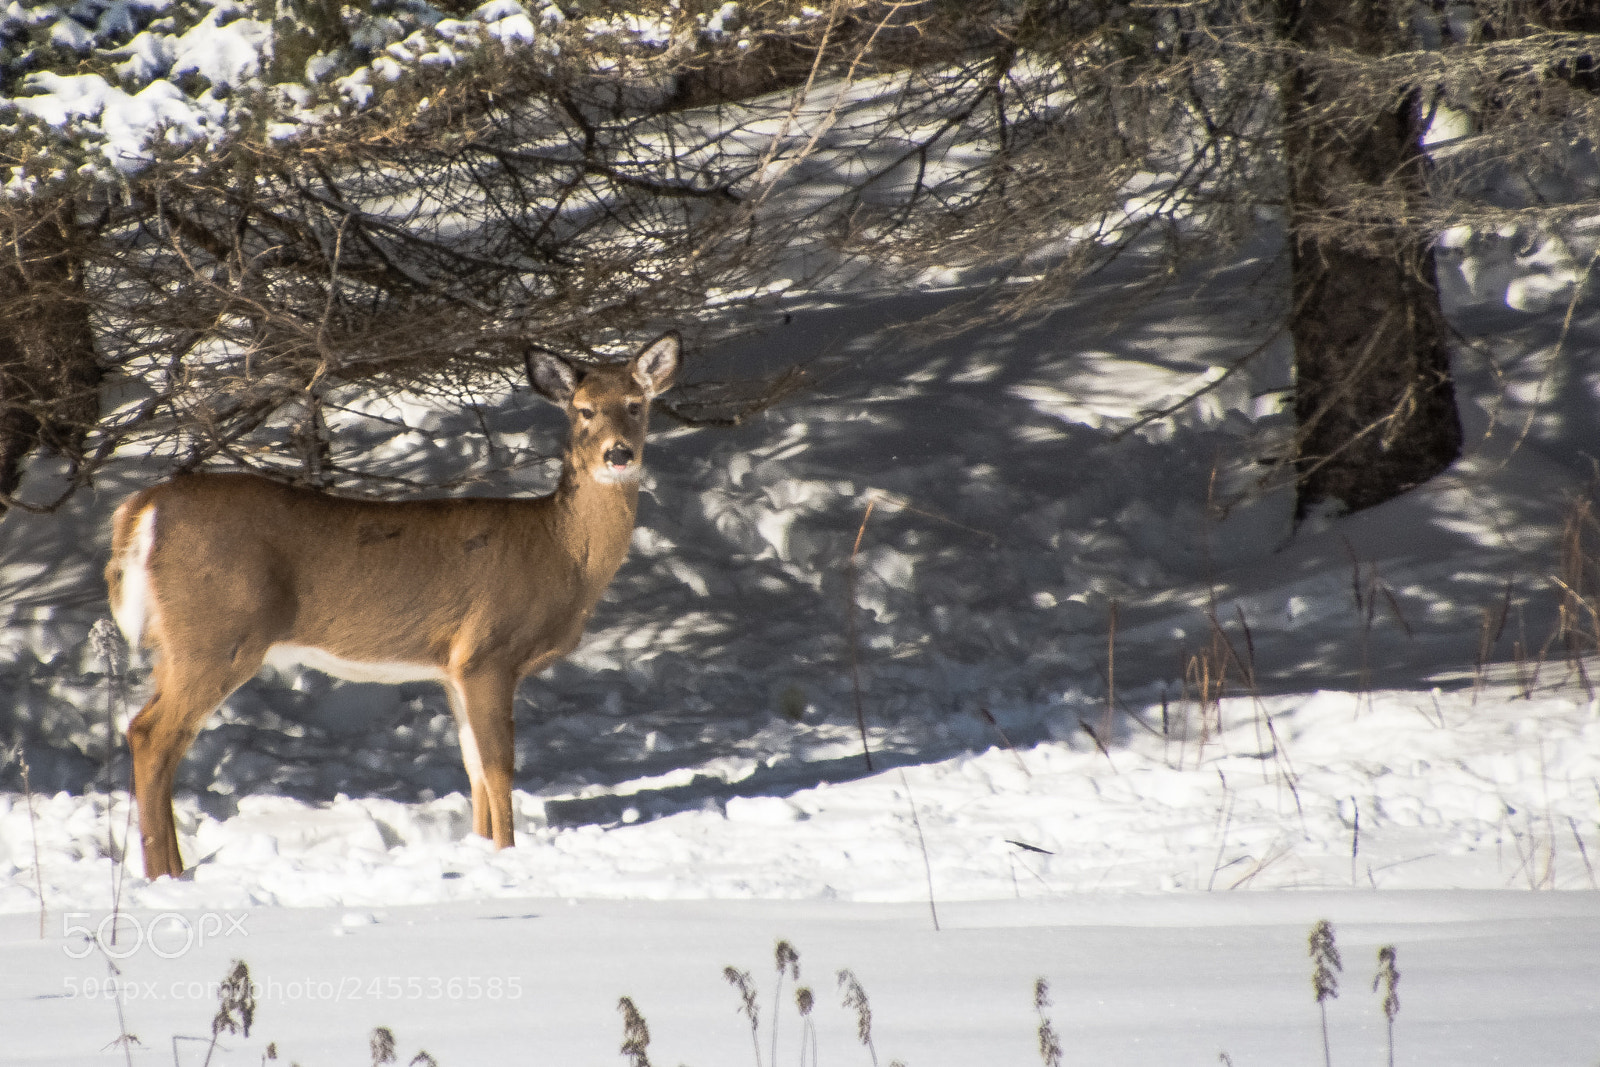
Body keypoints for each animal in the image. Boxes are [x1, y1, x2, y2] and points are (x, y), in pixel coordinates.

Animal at [104, 332, 681, 879]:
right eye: (583, 409)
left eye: (635, 404)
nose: (618, 454)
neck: (560, 550)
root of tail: (143, 509)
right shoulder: (489, 652)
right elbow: (500, 767)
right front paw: (508, 853)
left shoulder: (454, 668)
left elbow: (473, 768)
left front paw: (479, 849)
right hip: (217, 635)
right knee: (152, 736)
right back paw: (165, 875)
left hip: (178, 645)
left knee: (146, 732)